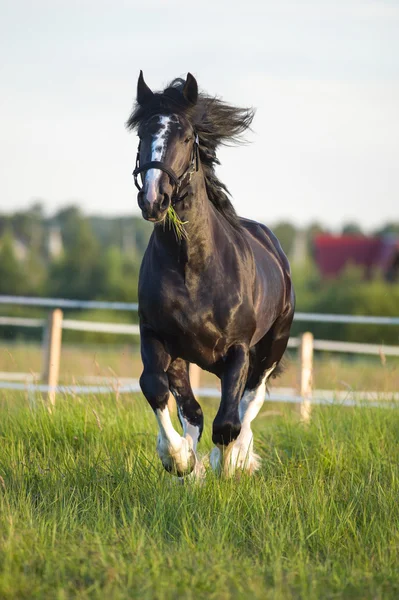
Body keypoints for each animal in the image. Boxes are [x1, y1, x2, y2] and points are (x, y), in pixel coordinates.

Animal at [126, 71, 296, 478]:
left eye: (188, 137)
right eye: (141, 134)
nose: (153, 200)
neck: (193, 269)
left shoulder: (238, 350)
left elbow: (227, 423)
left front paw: (227, 466)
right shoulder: (158, 338)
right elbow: (158, 390)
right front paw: (178, 459)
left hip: (270, 349)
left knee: (249, 403)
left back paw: (238, 459)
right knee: (195, 412)